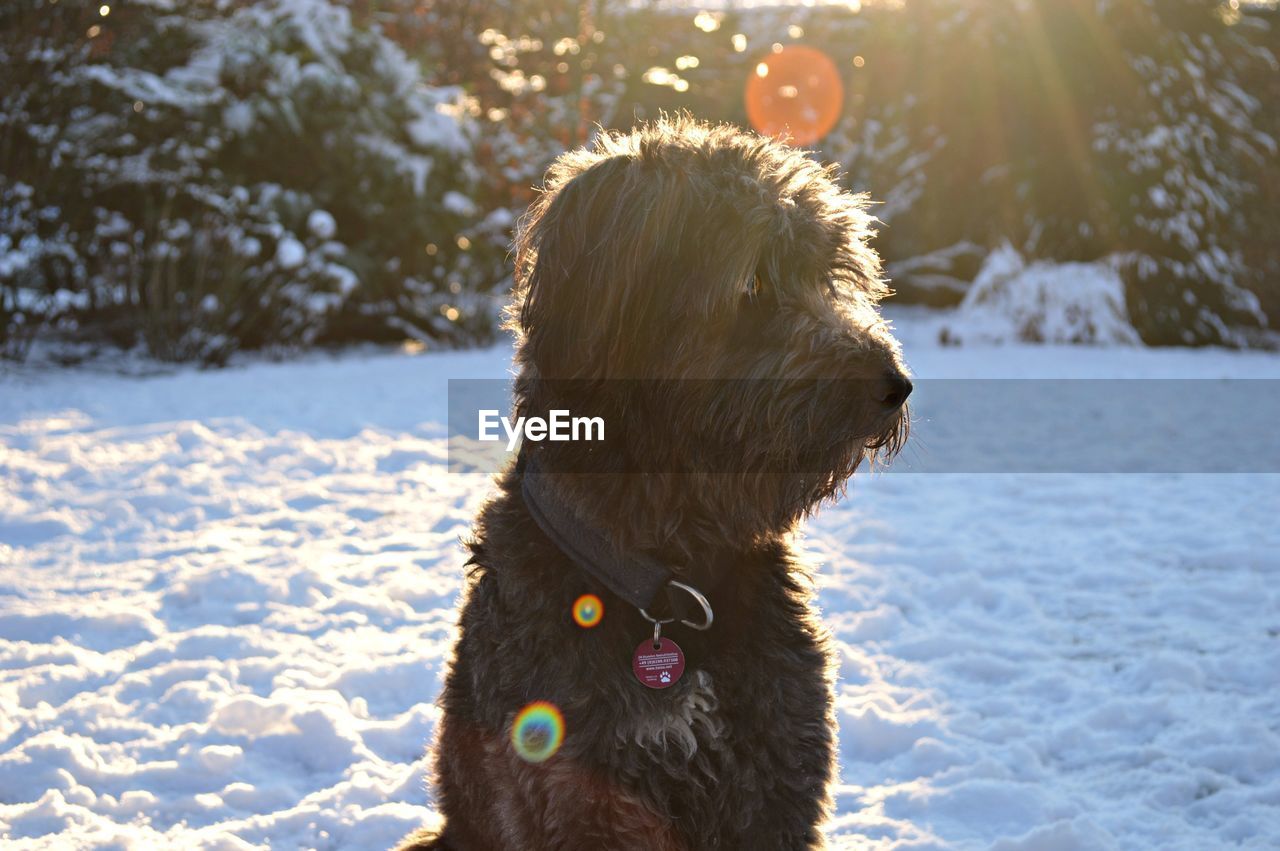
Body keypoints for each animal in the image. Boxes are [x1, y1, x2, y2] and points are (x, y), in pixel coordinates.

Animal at [399, 117, 911, 849]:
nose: (894, 384)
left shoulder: (778, 777)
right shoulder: (578, 800)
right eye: (752, 283)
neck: (670, 585)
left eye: (830, 273)